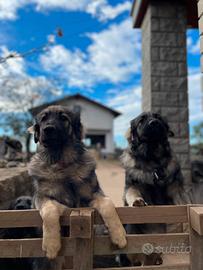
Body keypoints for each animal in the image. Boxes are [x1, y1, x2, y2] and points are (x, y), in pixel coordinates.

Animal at [27, 105, 126, 266]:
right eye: (43, 119)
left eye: (63, 118)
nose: (48, 129)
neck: (62, 164)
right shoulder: (40, 197)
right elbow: (49, 210)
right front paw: (51, 245)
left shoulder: (93, 194)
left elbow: (108, 204)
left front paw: (119, 234)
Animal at [119, 112, 190, 266]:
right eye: (141, 120)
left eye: (158, 118)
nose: (154, 123)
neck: (152, 161)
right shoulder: (132, 185)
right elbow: (133, 193)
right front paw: (137, 201)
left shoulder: (175, 187)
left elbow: (184, 202)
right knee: (140, 259)